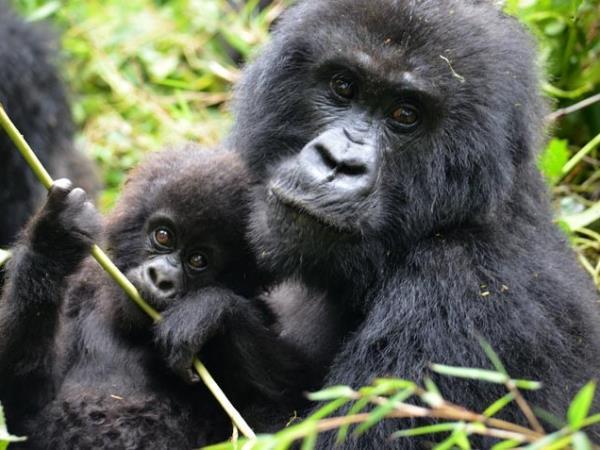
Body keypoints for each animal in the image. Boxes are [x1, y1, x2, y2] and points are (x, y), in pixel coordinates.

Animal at [0, 147, 316, 446]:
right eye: (163, 236)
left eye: (198, 260)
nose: (161, 278)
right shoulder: (81, 287)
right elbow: (27, 401)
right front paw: (53, 238)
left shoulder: (265, 315)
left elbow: (296, 399)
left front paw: (207, 311)